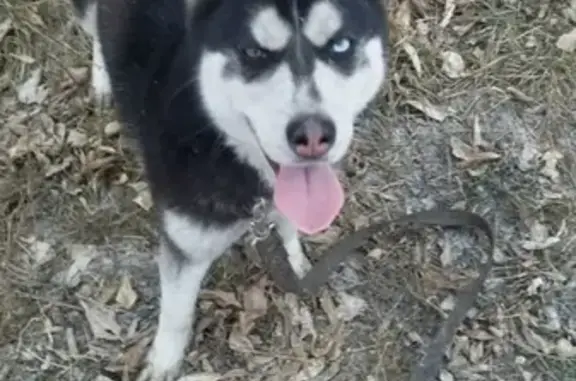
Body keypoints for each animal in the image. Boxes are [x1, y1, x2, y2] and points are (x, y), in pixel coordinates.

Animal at [71, 0, 388, 378]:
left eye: (340, 45)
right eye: (253, 52)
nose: (313, 135)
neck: (220, 143)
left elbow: (289, 226)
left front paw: (296, 261)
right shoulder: (185, 244)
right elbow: (176, 314)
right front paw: (164, 362)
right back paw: (103, 78)